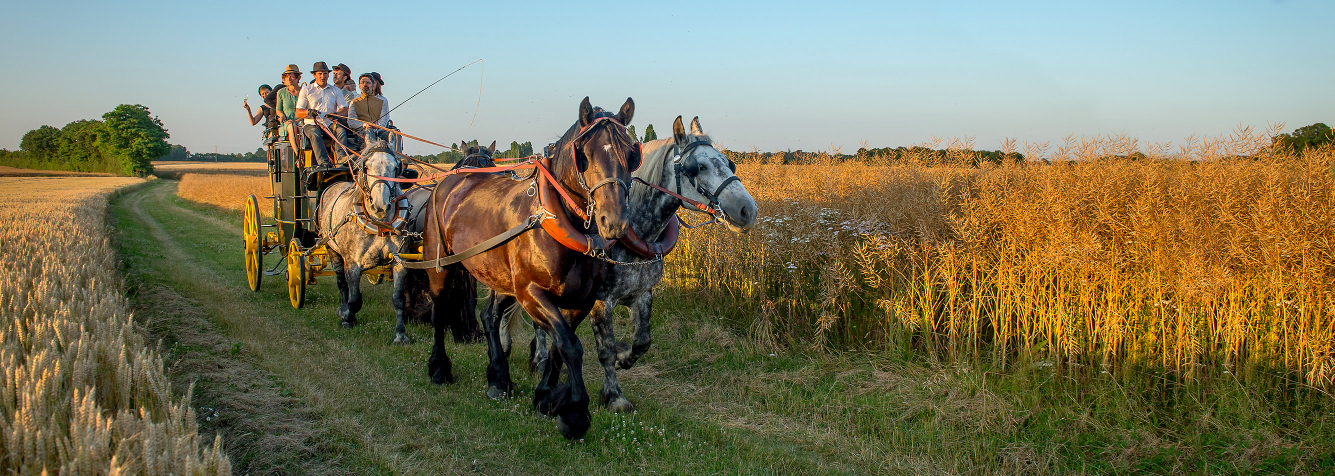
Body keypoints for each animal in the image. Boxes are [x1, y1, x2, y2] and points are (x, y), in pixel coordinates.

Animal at [421, 95, 640, 437]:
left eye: (631, 154)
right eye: (584, 155)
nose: (614, 222)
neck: (558, 219)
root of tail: (450, 180)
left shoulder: (581, 299)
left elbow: (560, 347)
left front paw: (545, 396)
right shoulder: (531, 293)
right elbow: (571, 346)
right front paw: (575, 413)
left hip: (500, 276)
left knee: (489, 315)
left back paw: (498, 378)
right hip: (441, 267)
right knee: (439, 312)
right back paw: (440, 368)